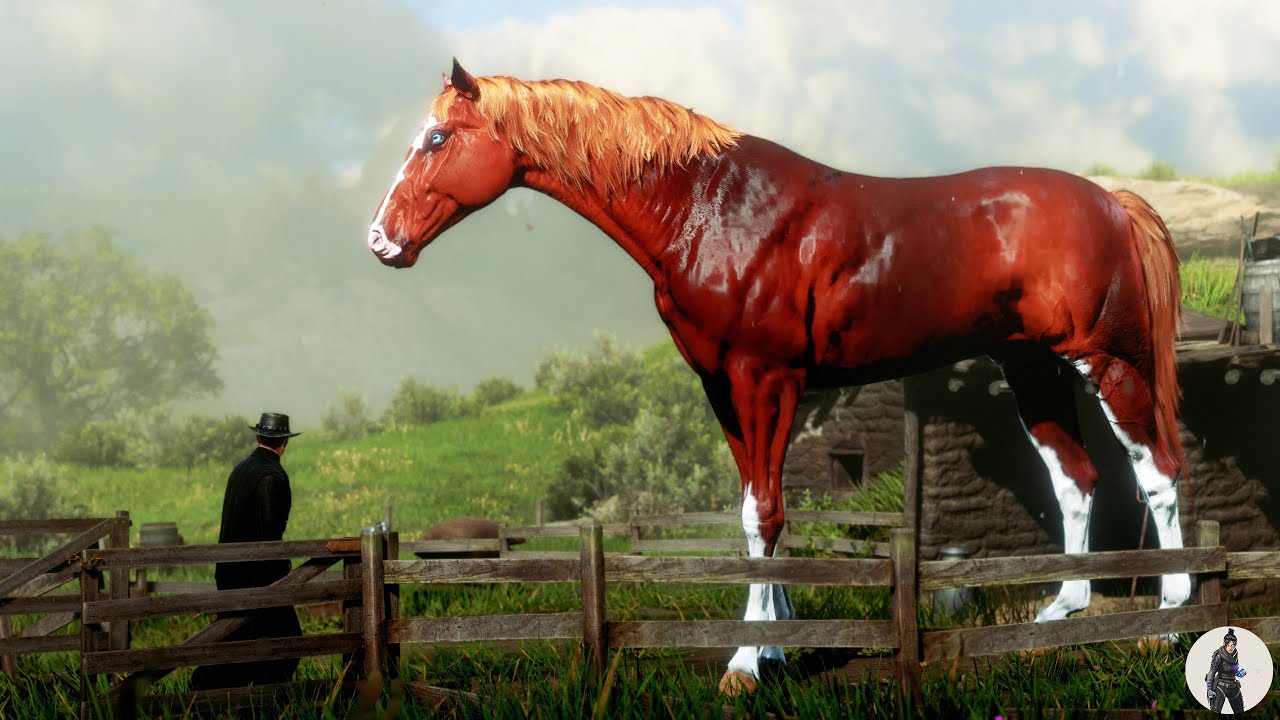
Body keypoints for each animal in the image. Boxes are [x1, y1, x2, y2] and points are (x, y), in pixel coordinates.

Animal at [366, 59, 1188, 695]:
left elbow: (762, 515)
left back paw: (1174, 619)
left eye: (437, 138)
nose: (381, 240)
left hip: (1109, 361)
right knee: (1076, 477)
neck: (713, 209)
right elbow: (759, 510)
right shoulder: (722, 387)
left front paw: (743, 663)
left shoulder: (765, 378)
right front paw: (776, 648)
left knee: (1157, 471)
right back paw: (1059, 614)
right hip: (1031, 365)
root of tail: (1114, 201)